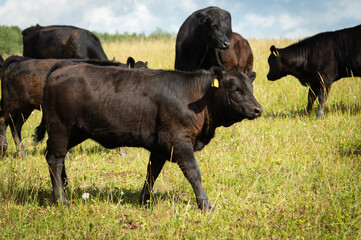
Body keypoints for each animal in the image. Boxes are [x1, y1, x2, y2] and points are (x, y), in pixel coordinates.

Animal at [0, 56, 147, 158]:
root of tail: (18, 61)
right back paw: (4, 148)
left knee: (15, 126)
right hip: (14, 102)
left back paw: (23, 155)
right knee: (3, 120)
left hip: (25, 108)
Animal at [34, 64, 262, 210]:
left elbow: (152, 173)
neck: (196, 97)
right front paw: (205, 204)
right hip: (60, 128)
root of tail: (61, 68)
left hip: (75, 132)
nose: (258, 109)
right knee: (55, 159)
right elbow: (194, 173)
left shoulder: (160, 147)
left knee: (57, 157)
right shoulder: (179, 142)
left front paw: (144, 200)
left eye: (250, 88)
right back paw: (61, 200)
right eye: (235, 89)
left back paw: (64, 187)